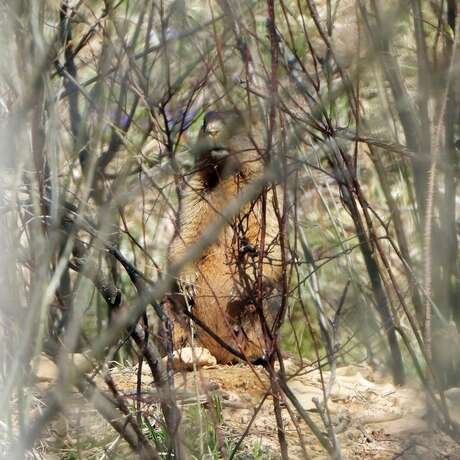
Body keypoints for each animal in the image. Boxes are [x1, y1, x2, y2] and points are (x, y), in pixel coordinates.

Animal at [166, 110, 283, 363]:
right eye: (203, 123)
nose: (212, 130)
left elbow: (270, 236)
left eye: (238, 119)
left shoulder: (267, 192)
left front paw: (239, 288)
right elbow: (185, 234)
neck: (226, 173)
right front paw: (188, 281)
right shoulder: (193, 192)